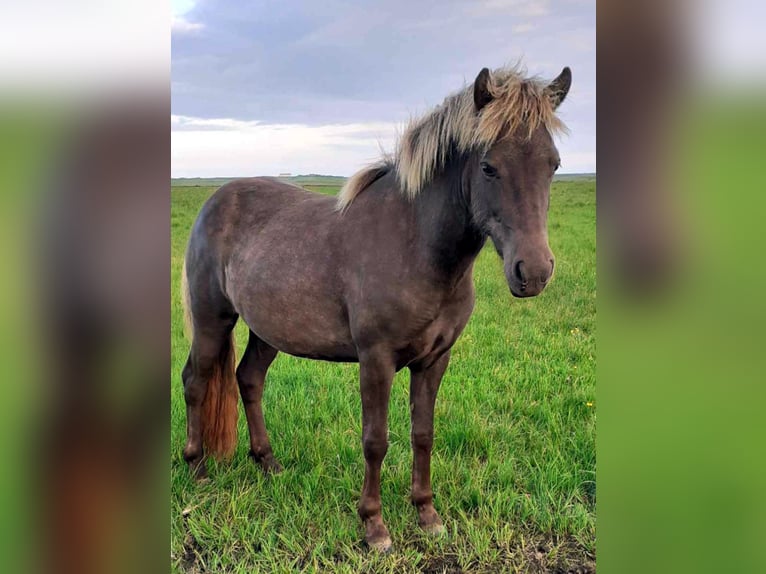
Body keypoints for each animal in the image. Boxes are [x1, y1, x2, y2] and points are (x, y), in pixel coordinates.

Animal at [183, 63, 572, 552]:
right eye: (488, 167)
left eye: (553, 163)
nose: (534, 272)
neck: (413, 243)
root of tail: (215, 202)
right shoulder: (376, 359)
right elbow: (376, 440)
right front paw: (374, 526)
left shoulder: (435, 360)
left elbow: (422, 434)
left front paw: (427, 515)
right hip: (211, 320)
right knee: (196, 381)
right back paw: (197, 468)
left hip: (266, 330)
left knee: (249, 380)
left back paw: (267, 462)